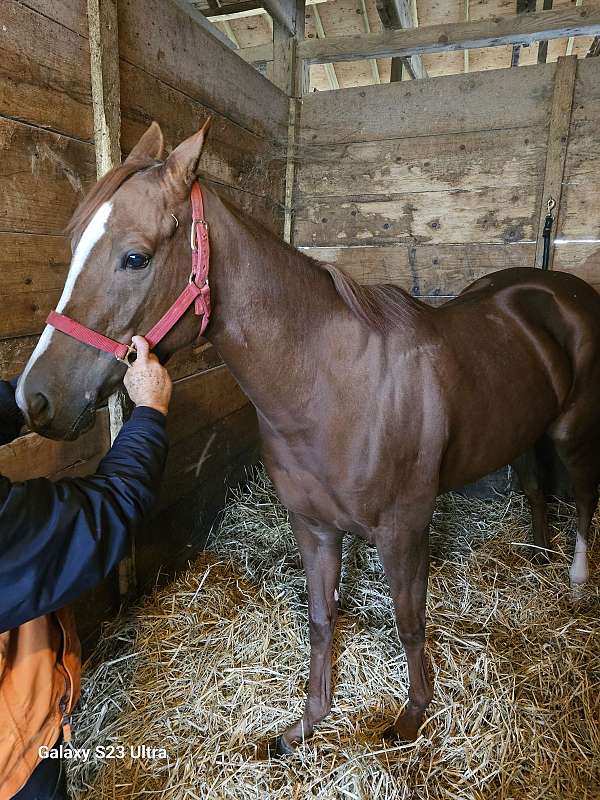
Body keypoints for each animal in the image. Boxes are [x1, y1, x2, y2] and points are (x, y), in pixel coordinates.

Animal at [17, 123, 600, 752]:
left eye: (135, 257)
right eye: (73, 243)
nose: (34, 398)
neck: (330, 385)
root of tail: (560, 289)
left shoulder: (404, 528)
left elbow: (409, 620)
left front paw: (412, 716)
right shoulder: (313, 525)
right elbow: (321, 620)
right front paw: (307, 722)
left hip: (574, 431)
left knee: (583, 494)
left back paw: (574, 581)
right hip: (525, 429)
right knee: (536, 487)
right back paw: (539, 553)